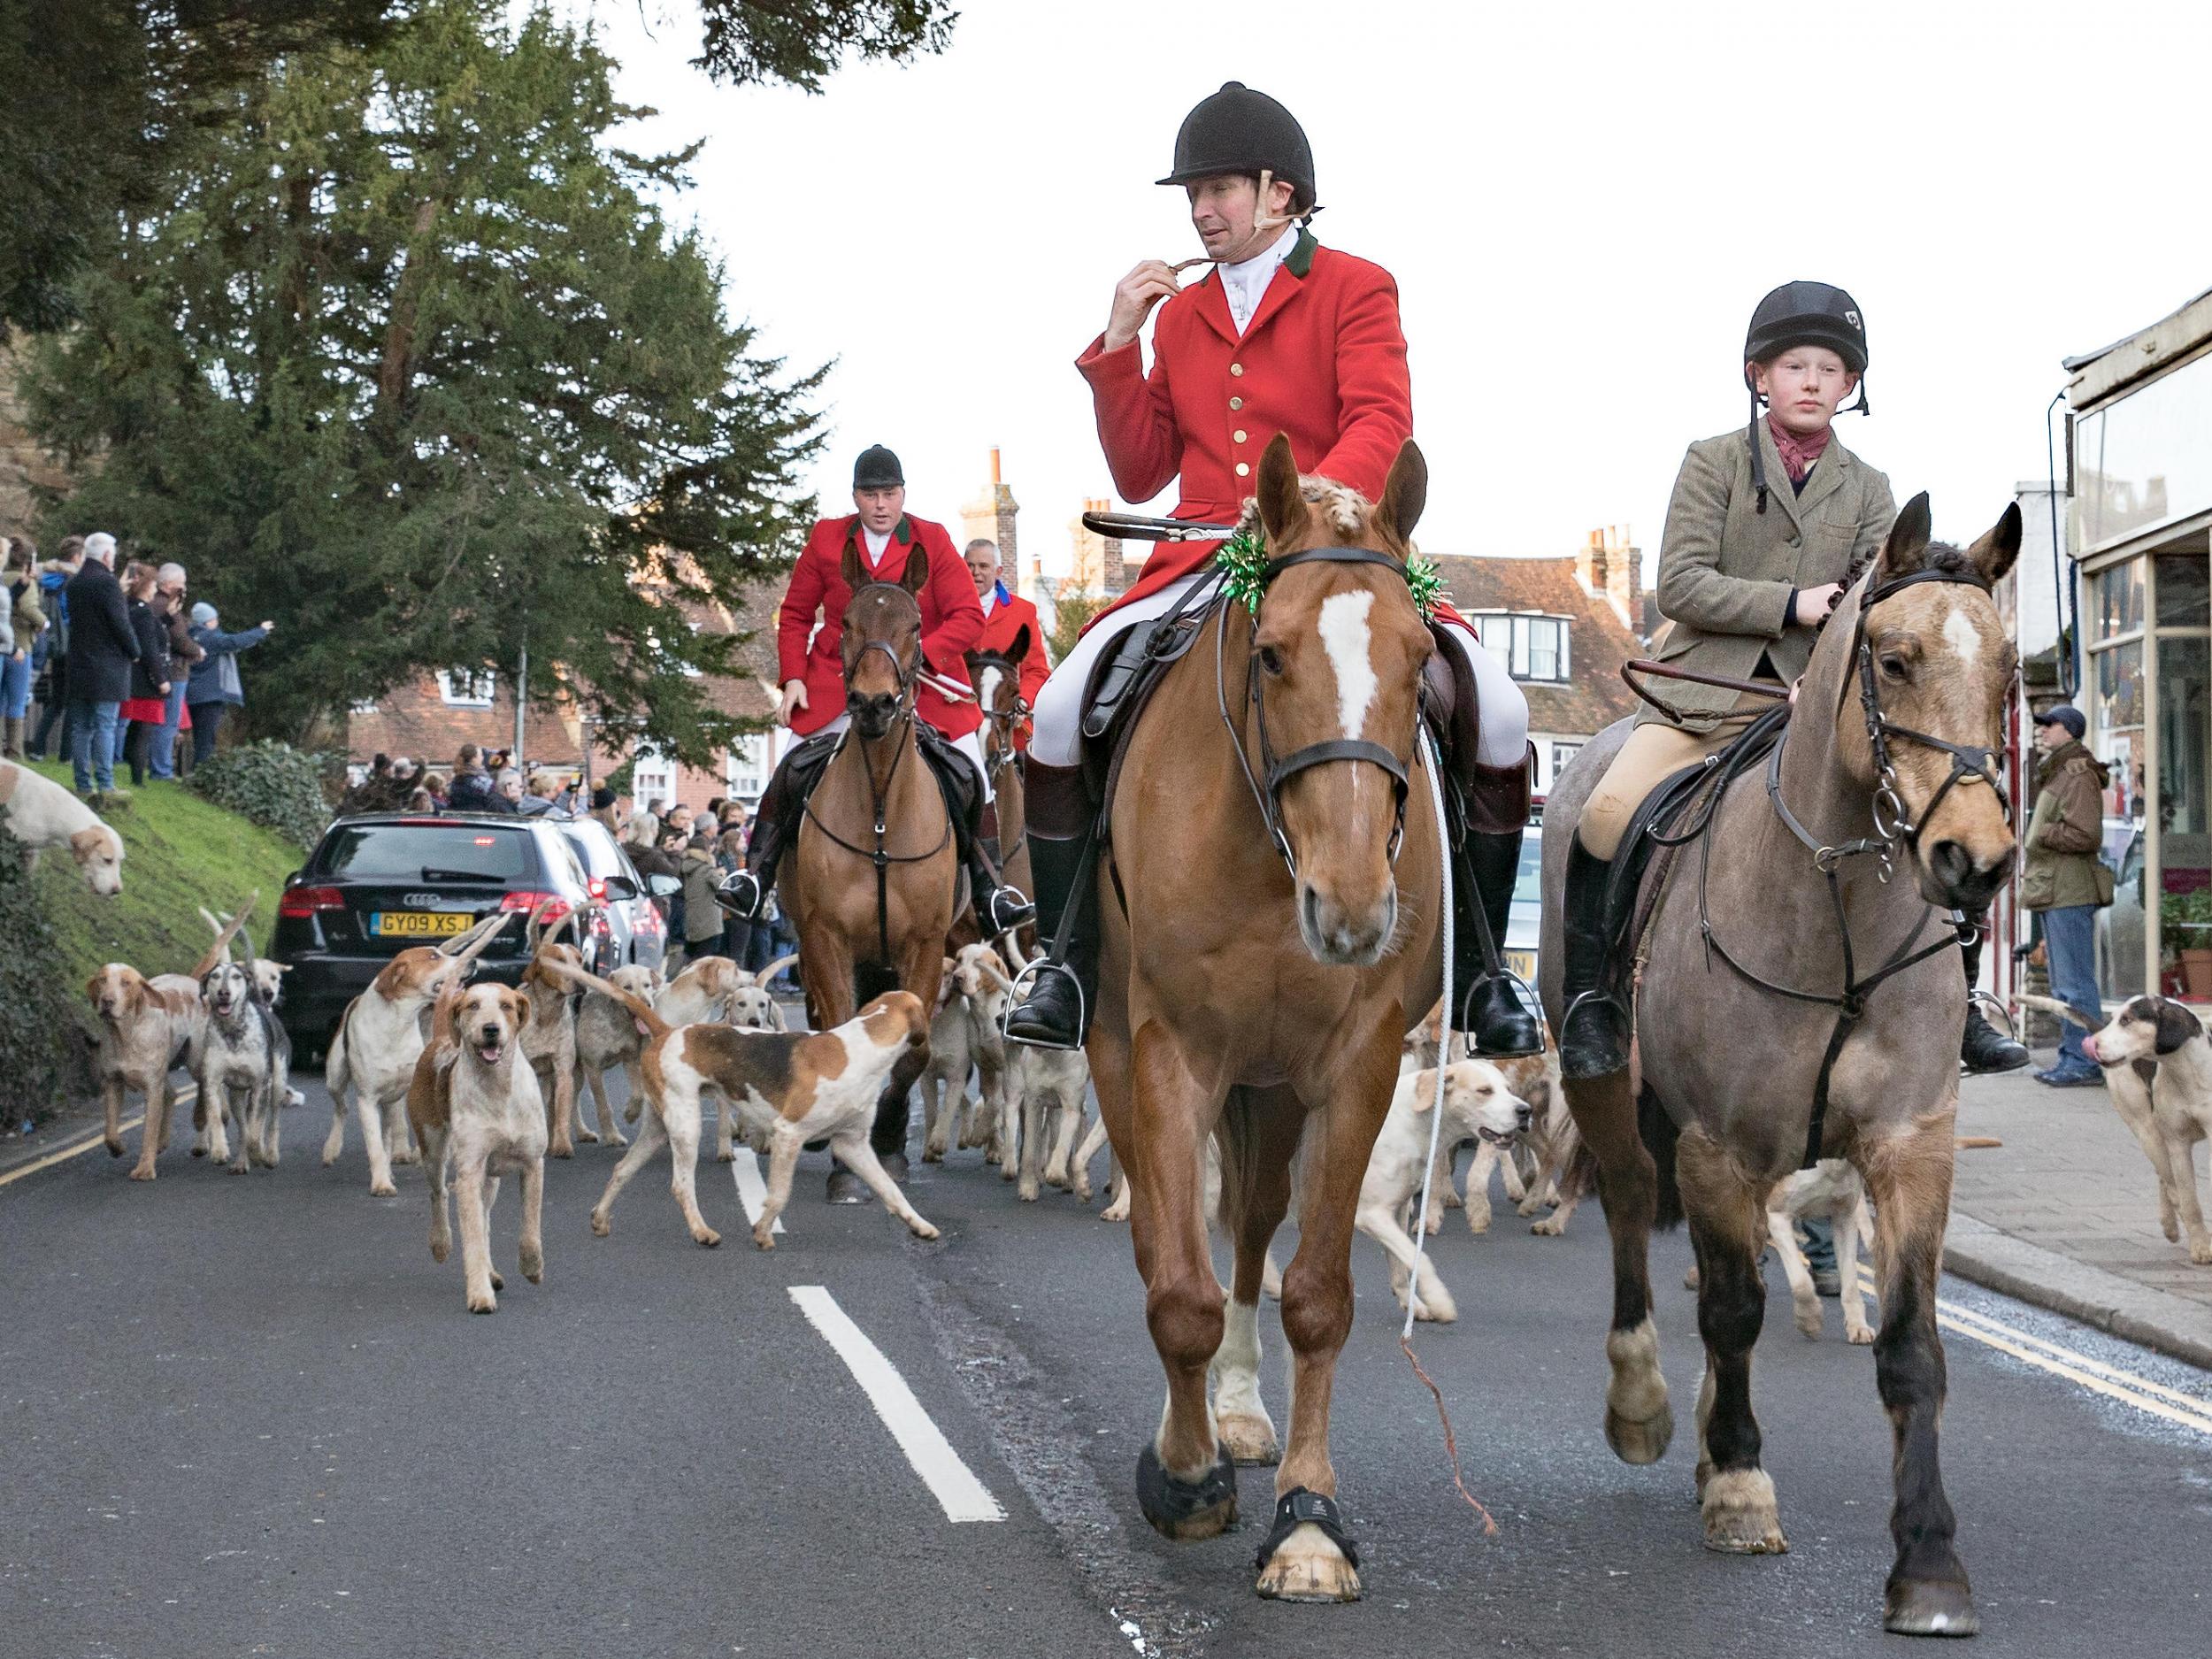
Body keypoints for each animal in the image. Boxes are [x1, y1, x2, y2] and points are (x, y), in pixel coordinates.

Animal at [783, 546, 956, 1168]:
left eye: (916, 626)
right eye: (848, 622)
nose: (874, 703)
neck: (881, 805)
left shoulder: (925, 945)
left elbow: (916, 1051)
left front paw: (889, 1130)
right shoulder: (826, 936)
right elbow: (838, 1032)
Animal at [1093, 435, 1442, 1601]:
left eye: (1420, 658)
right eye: (1276, 656)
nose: (1353, 907)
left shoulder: (1354, 1068)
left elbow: (1317, 1296)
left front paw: (1307, 1520)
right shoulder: (1170, 1056)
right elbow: (1179, 1294)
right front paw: (1185, 1475)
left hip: (1275, 1089)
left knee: (1247, 1228)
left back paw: (1243, 1411)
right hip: (1122, 1060)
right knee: (1166, 1243)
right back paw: (1196, 1431)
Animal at [1540, 497, 2026, 1637]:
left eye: (2010, 672)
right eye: (1892, 661)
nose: (1975, 863)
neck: (1837, 913)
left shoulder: (1909, 1148)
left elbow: (1909, 1348)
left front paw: (1928, 1564)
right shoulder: (1718, 1147)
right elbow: (1728, 1311)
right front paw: (1738, 1487)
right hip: (1606, 1094)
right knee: (1630, 1208)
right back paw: (1647, 1406)